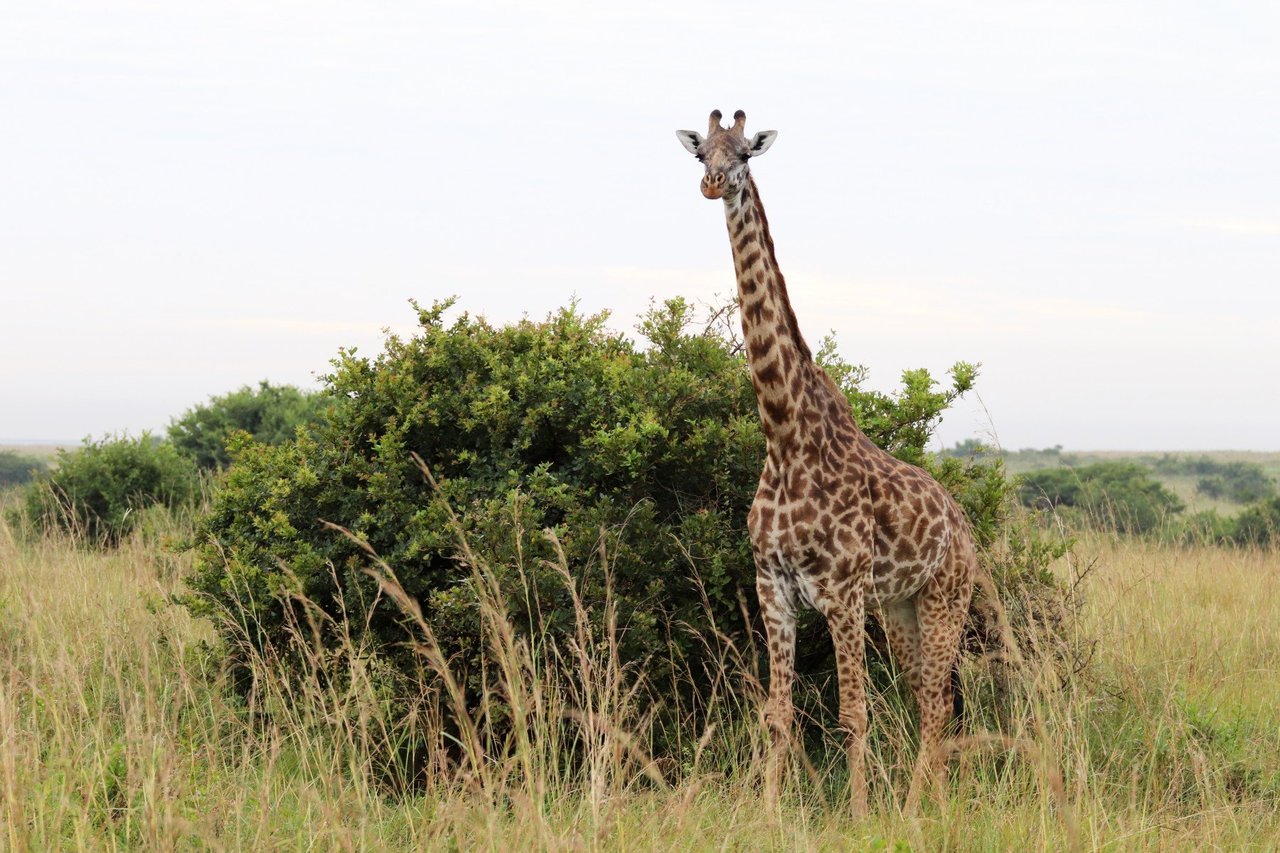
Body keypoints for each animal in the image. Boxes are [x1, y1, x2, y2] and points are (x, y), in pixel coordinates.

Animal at [675, 109, 972, 814]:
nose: (712, 183)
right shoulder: (773, 588)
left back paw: (916, 810)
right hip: (901, 608)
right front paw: (767, 813)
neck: (784, 436)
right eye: (700, 152)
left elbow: (853, 713)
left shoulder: (842, 592)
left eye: (745, 153)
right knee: (932, 701)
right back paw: (928, 802)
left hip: (945, 598)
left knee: (937, 704)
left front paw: (860, 814)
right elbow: (778, 714)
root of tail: (966, 527)